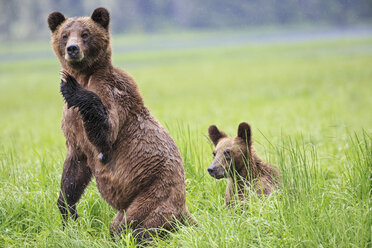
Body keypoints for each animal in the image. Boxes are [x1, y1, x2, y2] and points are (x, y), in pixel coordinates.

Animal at [48, 7, 195, 240]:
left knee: (137, 226)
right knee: (117, 225)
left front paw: (70, 86)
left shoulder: (112, 92)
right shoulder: (71, 125)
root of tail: (184, 209)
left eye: (85, 34)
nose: (72, 49)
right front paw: (67, 212)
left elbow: (105, 133)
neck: (85, 75)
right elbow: (74, 169)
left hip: (153, 194)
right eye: (64, 35)